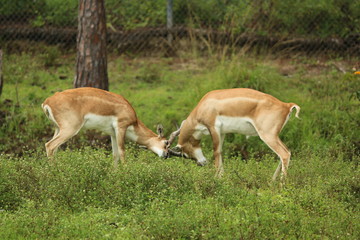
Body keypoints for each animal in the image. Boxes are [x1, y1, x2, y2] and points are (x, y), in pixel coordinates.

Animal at [41, 87, 169, 166]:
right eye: (166, 142)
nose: (166, 155)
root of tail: (47, 102)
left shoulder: (112, 133)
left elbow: (115, 155)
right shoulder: (121, 127)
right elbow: (122, 152)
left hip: (58, 128)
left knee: (53, 148)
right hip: (70, 129)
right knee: (50, 145)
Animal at [167, 88, 300, 180]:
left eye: (185, 154)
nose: (201, 163)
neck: (205, 104)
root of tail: (287, 105)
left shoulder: (213, 127)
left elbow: (215, 152)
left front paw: (217, 178)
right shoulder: (222, 132)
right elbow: (220, 152)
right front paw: (222, 177)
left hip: (267, 135)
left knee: (284, 154)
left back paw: (281, 185)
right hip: (274, 136)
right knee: (286, 152)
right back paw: (272, 181)